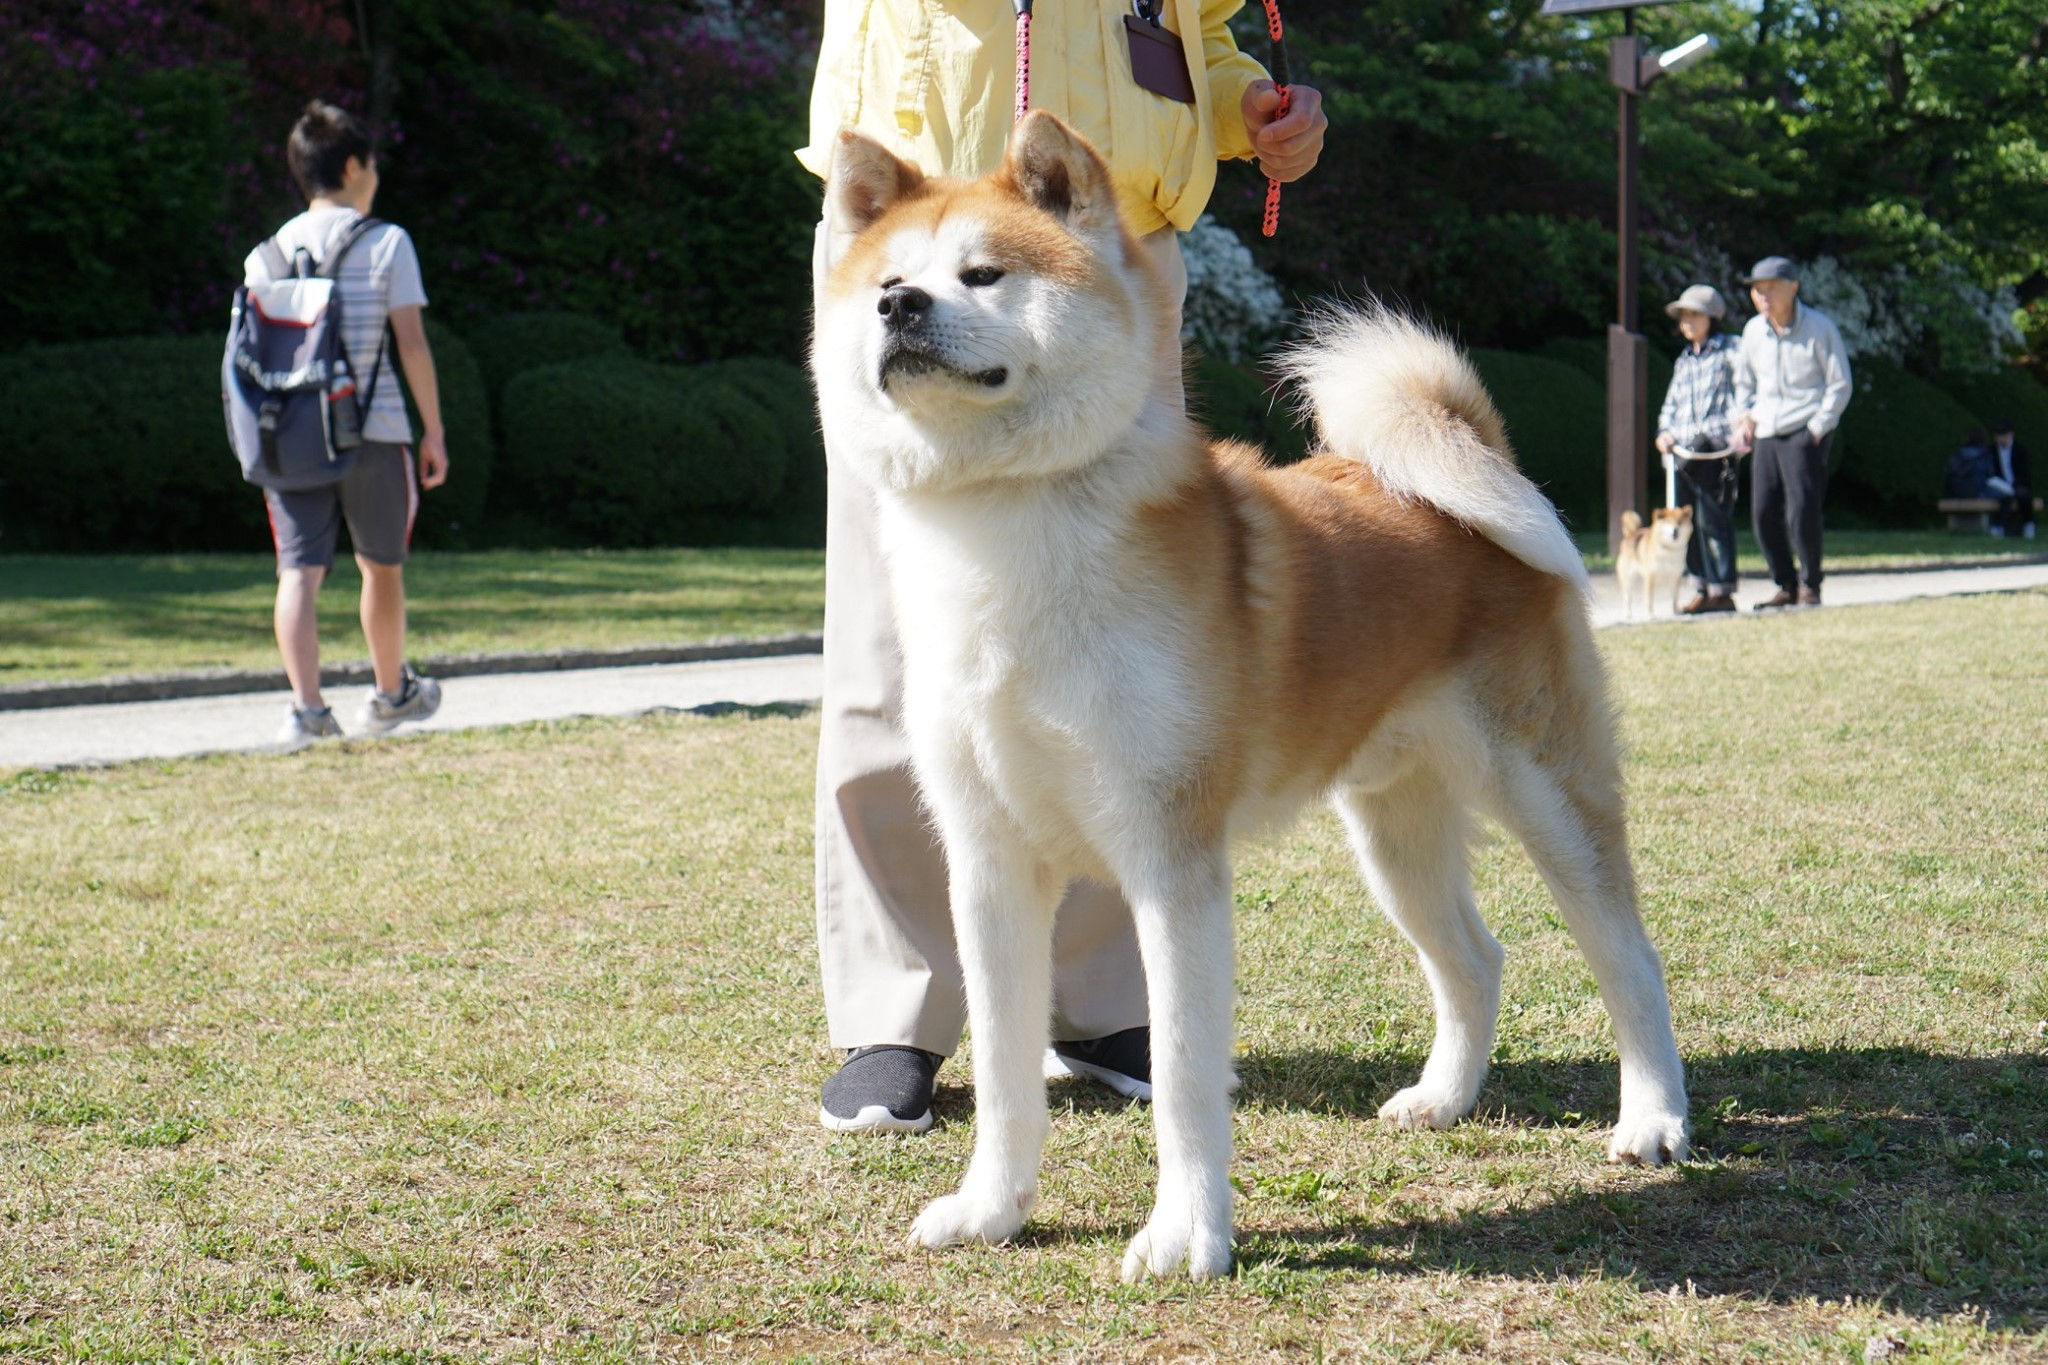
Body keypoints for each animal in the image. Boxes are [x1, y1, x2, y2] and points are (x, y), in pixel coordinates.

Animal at [806, 112, 1687, 1285]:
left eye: (982, 274)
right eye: (886, 281)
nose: (900, 308)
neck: (1003, 535)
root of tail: (1471, 464)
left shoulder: (1168, 860)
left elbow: (1182, 1074)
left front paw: (1185, 1234)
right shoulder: (988, 866)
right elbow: (999, 1068)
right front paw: (991, 1208)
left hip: (1547, 794)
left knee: (1629, 957)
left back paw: (1652, 1121)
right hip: (1393, 835)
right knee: (1474, 959)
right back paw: (1444, 1099)